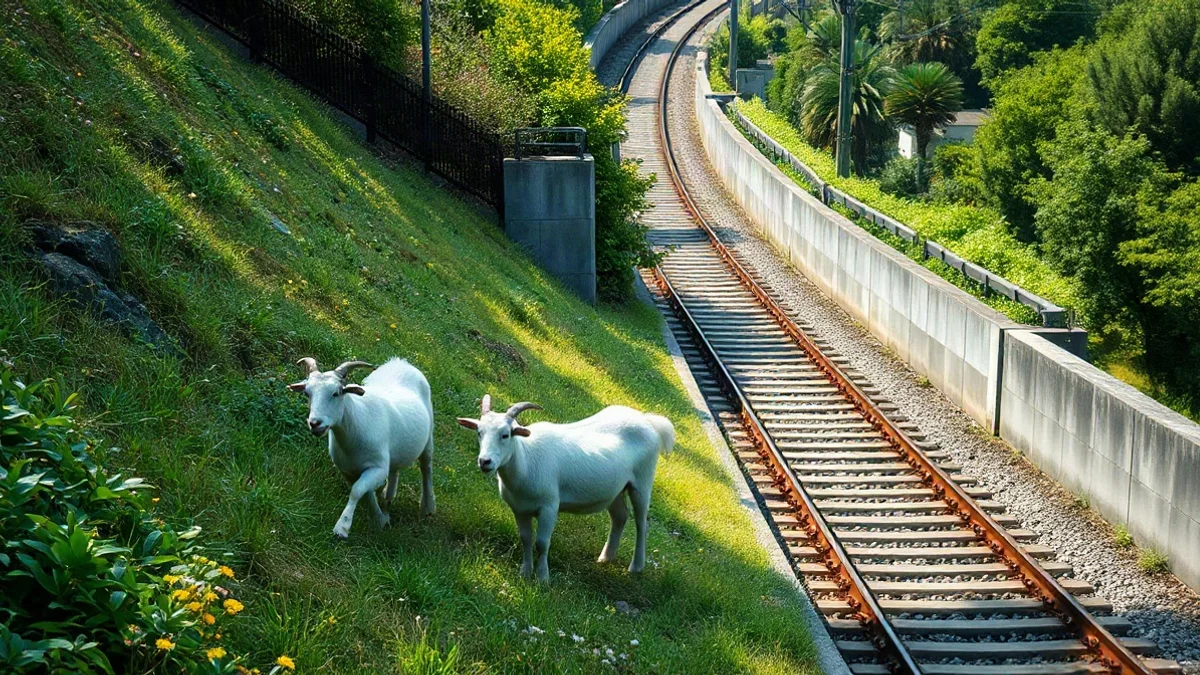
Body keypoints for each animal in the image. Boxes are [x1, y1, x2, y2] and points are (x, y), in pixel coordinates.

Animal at [288, 357, 435, 538]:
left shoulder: (377, 468)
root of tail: (400, 362)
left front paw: (342, 527)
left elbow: (357, 491)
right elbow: (365, 493)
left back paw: (427, 508)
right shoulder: (348, 470)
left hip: (428, 438)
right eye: (307, 393)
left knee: (426, 468)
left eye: (336, 393)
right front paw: (380, 519)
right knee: (395, 469)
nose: (315, 423)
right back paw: (388, 497)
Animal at [457, 396, 674, 583]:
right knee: (620, 517)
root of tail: (646, 420)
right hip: (615, 490)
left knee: (641, 524)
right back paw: (605, 558)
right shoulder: (520, 509)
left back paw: (636, 567)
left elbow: (541, 543)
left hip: (642, 482)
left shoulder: (549, 507)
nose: (485, 462)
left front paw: (543, 577)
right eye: (479, 432)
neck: (526, 459)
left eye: (506, 434)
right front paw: (525, 572)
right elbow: (526, 539)